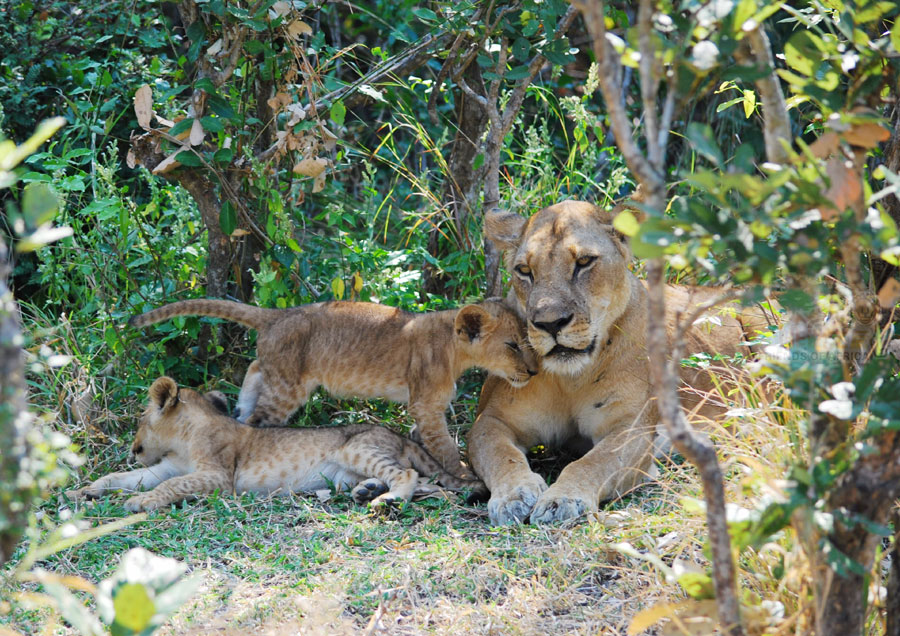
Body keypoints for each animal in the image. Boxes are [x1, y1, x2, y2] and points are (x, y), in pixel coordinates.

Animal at [67, 376, 485, 512]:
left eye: (141, 419)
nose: (133, 449)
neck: (184, 438)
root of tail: (398, 435)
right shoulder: (166, 467)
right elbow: (123, 479)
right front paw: (83, 491)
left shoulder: (219, 477)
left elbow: (172, 486)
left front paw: (140, 503)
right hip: (348, 470)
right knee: (427, 483)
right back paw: (368, 491)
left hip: (355, 447)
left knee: (410, 475)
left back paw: (386, 500)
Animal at [130, 298, 538, 477]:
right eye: (513, 345)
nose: (534, 372)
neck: (453, 347)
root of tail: (276, 315)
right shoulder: (426, 405)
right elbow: (444, 448)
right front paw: (464, 474)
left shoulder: (423, 410)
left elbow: (422, 439)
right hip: (288, 389)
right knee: (259, 422)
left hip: (275, 372)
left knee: (254, 374)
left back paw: (240, 407)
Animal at [468, 201, 775, 525]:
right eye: (524, 271)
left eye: (584, 262)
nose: (550, 324)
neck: (570, 379)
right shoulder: (492, 419)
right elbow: (499, 453)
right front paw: (513, 496)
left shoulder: (631, 428)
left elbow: (592, 462)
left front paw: (563, 500)